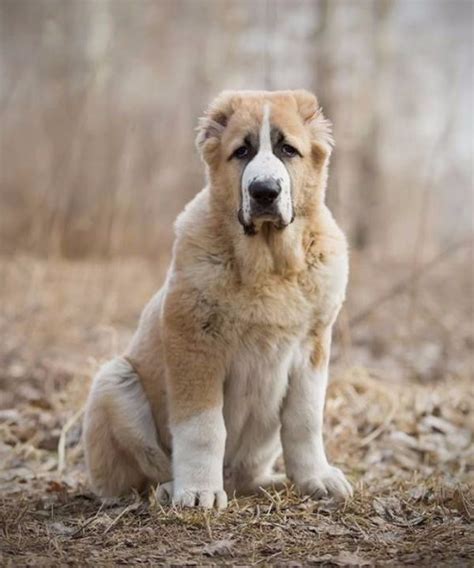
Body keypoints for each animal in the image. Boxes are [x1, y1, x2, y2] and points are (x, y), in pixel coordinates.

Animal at [83, 90, 352, 510]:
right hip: (114, 380)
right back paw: (169, 488)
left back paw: (268, 482)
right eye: (241, 151)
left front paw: (316, 478)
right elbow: (203, 427)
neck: (269, 265)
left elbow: (305, 420)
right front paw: (197, 491)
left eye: (288, 150)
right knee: (143, 475)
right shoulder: (195, 345)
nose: (264, 192)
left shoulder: (313, 348)